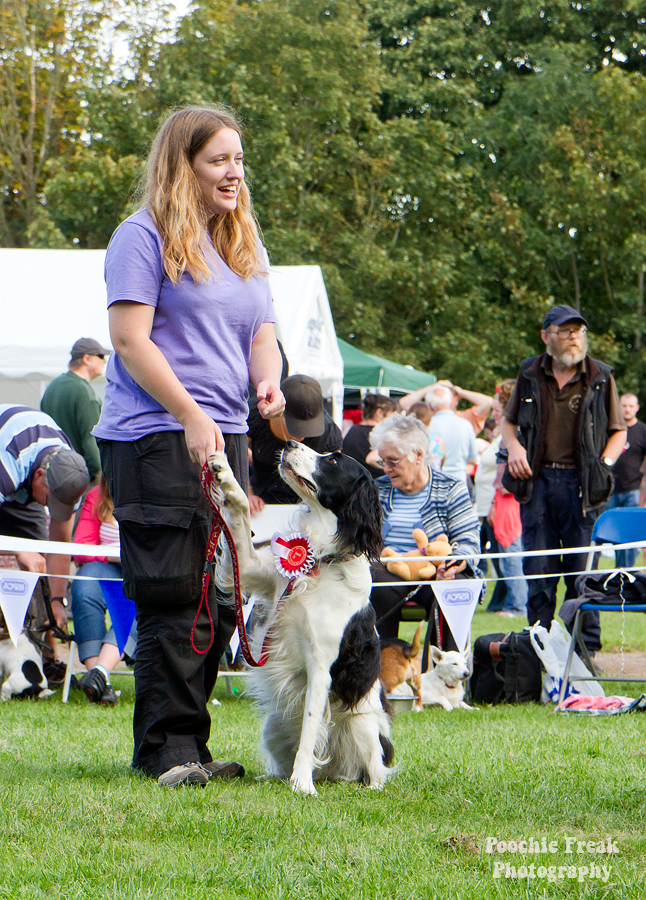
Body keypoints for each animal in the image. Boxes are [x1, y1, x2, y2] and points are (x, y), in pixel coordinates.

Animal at [213, 442, 394, 796]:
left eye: (333, 460)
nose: (289, 444)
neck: (321, 560)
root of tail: (334, 773)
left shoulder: (321, 666)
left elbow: (310, 725)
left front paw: (302, 783)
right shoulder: (257, 575)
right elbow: (239, 527)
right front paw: (224, 474)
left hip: (364, 724)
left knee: (376, 769)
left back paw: (363, 785)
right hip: (272, 725)